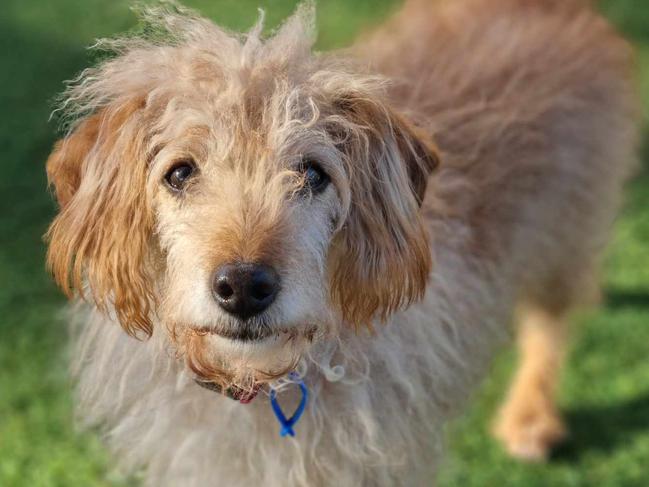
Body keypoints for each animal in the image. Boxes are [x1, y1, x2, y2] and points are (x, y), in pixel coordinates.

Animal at [46, 0, 636, 486]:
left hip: (567, 227)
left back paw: (531, 415)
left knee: (551, 320)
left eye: (313, 173)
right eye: (180, 173)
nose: (243, 286)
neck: (266, 380)